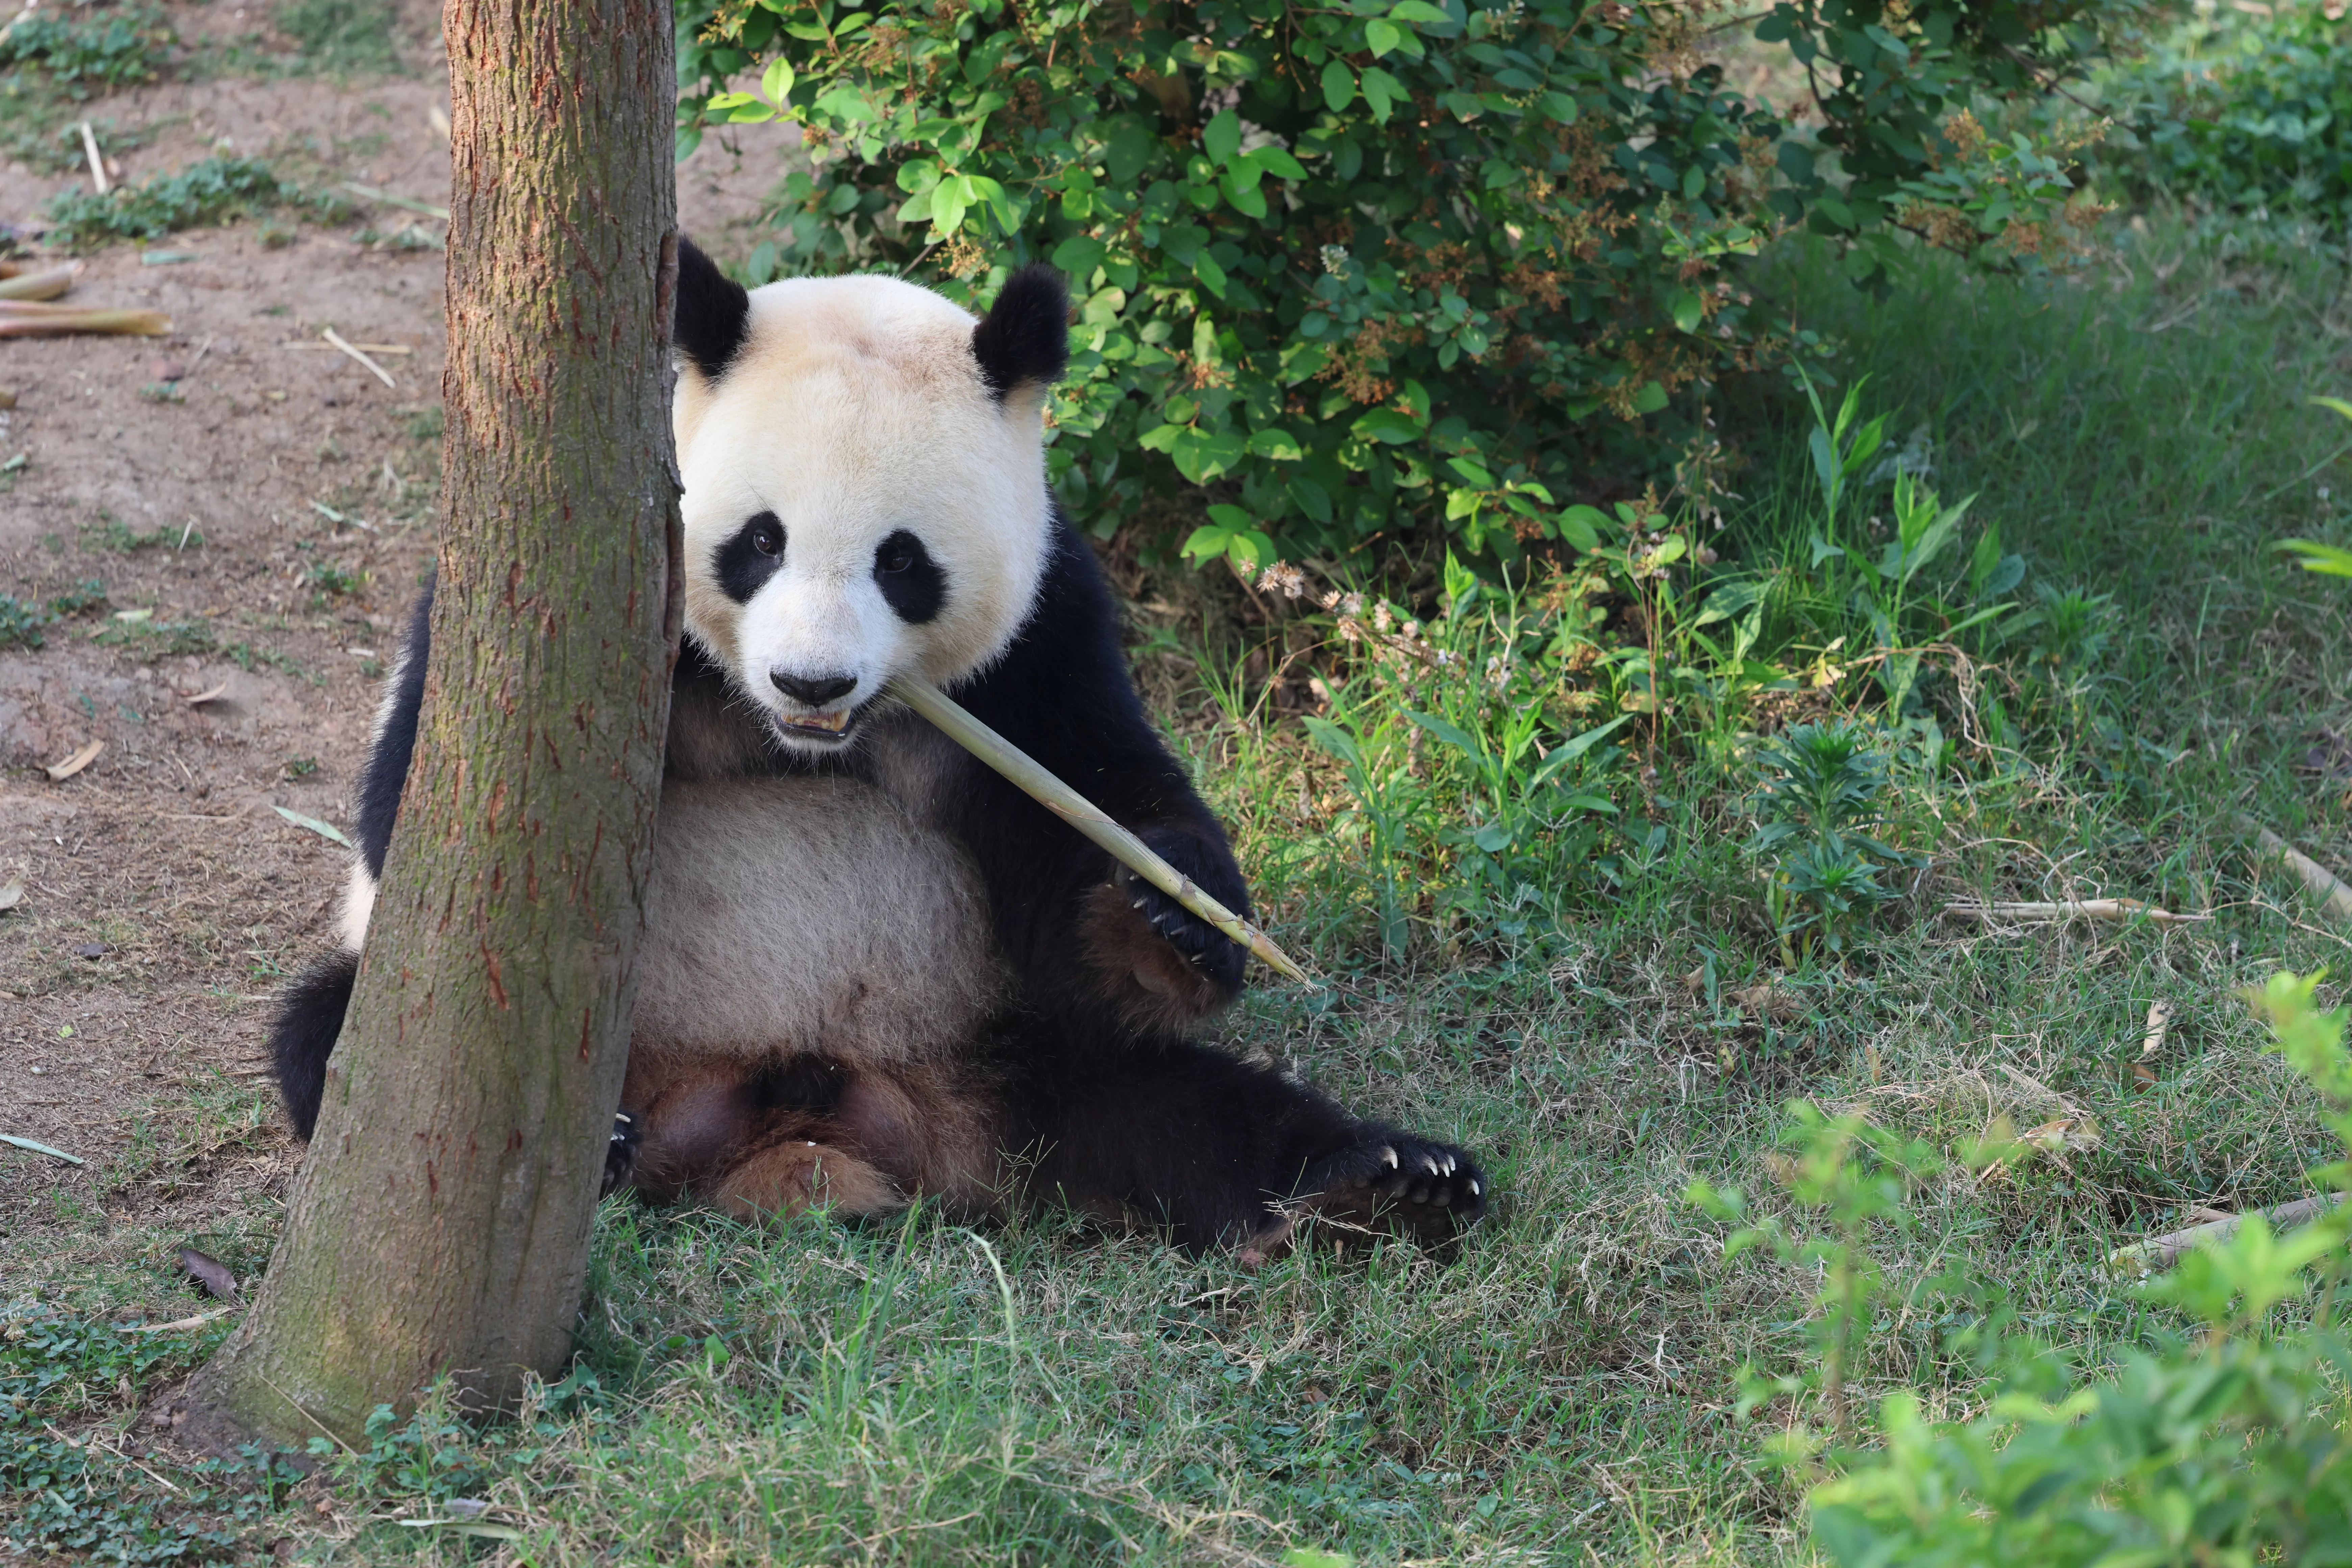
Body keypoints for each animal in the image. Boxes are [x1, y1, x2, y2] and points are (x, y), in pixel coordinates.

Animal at [267, 239, 1489, 1257]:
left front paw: (1173, 913)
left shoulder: (1044, 635)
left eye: (903, 562)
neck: (804, 739)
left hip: (998, 1042)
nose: (813, 683)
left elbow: (1090, 828)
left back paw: (1382, 1186)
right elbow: (418, 814)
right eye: (759, 542)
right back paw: (597, 1146)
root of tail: (805, 1127)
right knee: (356, 1037)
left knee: (1176, 1105)